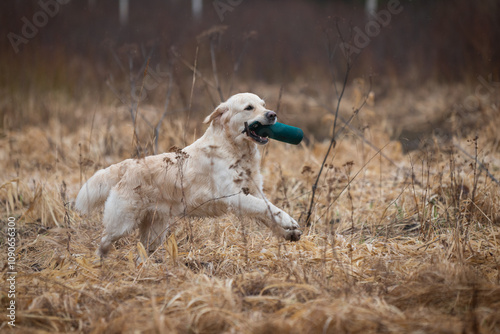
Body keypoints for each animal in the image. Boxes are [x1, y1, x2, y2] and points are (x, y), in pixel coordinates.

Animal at [74, 92, 300, 258]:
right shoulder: (233, 196)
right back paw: (100, 265)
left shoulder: (253, 191)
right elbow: (268, 208)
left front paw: (288, 231)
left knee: (142, 252)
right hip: (121, 224)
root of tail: (127, 165)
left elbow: (268, 210)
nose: (272, 114)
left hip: (155, 231)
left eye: (263, 104)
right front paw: (288, 222)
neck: (235, 149)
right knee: (103, 243)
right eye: (249, 108)